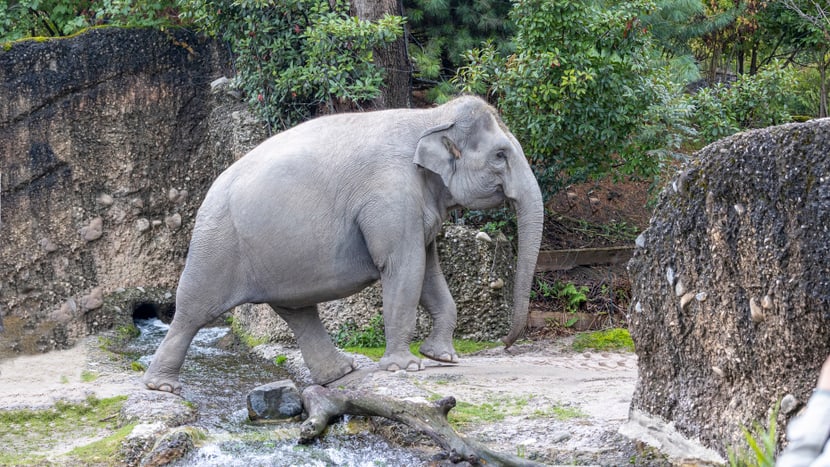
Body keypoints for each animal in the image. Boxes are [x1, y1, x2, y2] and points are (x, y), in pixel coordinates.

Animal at [143, 95, 544, 394]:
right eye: (501, 155)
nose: (507, 344)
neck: (430, 116)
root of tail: (209, 192)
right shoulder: (389, 197)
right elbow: (404, 268)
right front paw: (405, 367)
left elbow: (429, 273)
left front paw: (442, 358)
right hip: (217, 244)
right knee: (193, 311)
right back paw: (162, 387)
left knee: (298, 312)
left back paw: (340, 373)